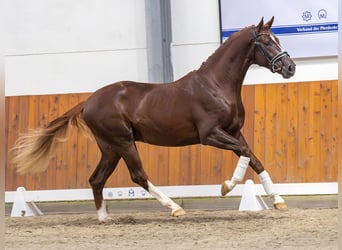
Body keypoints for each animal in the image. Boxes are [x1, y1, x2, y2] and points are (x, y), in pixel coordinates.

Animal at [12, 16, 294, 222]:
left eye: (278, 39)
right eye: (266, 42)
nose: (290, 67)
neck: (216, 85)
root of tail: (89, 101)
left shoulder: (234, 132)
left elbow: (254, 159)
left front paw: (279, 201)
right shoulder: (211, 135)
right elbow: (246, 154)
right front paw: (226, 186)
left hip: (110, 148)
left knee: (97, 179)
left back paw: (104, 218)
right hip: (124, 143)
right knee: (138, 175)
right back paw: (174, 208)